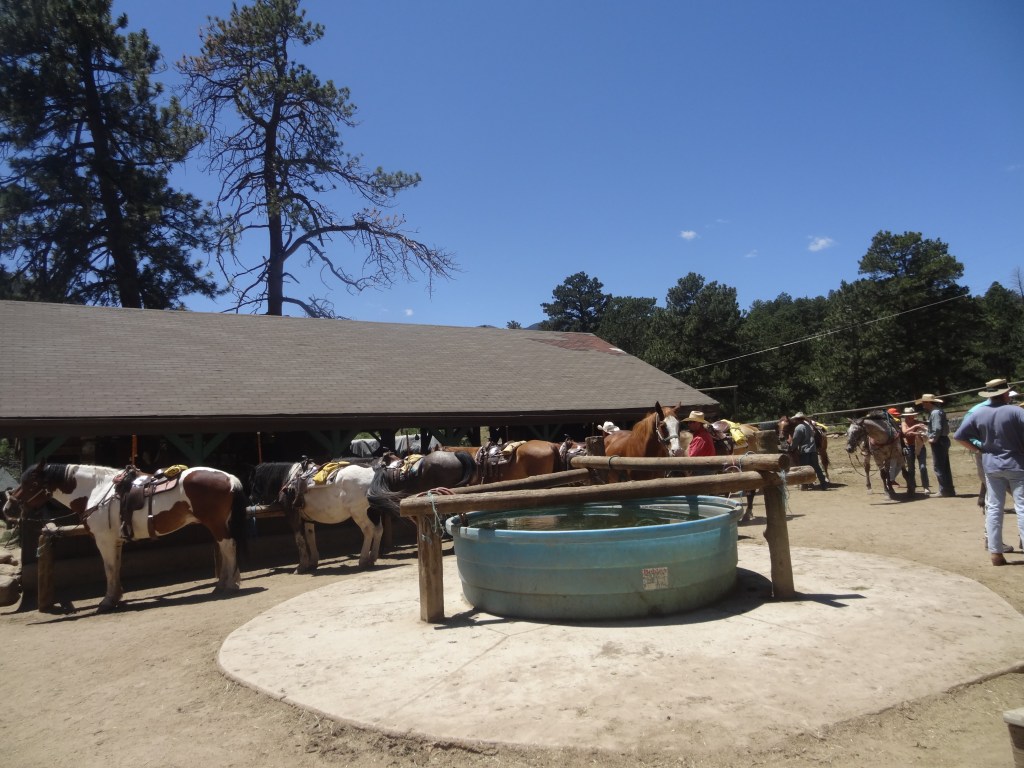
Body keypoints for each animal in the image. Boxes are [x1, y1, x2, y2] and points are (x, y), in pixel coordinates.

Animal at [2, 461, 246, 612]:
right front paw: (117, 596)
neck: (97, 491)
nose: (8, 508)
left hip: (216, 523)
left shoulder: (104, 540)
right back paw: (223, 583)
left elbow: (109, 568)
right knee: (226, 548)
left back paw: (229, 585)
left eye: (32, 483)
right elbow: (117, 566)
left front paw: (107, 601)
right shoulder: (115, 540)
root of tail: (230, 477)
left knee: (229, 547)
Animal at [248, 460, 382, 573]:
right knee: (378, 530)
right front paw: (313, 562)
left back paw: (363, 560)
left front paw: (301, 566)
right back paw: (372, 558)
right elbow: (310, 536)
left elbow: (299, 539)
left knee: (368, 530)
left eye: (252, 482)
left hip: (358, 512)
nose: (250, 499)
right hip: (372, 511)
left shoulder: (293, 515)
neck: (288, 480)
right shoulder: (308, 517)